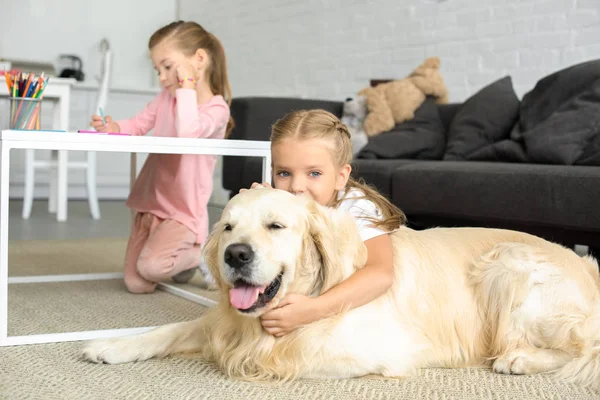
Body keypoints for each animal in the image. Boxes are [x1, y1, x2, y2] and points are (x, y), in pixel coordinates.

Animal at [82, 188, 600, 390]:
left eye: (275, 226)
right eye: (228, 228)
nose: (235, 256)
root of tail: (585, 264)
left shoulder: (377, 350)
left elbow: (289, 355)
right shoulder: (225, 319)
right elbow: (169, 329)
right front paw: (110, 345)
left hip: (509, 264)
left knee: (583, 346)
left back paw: (520, 358)